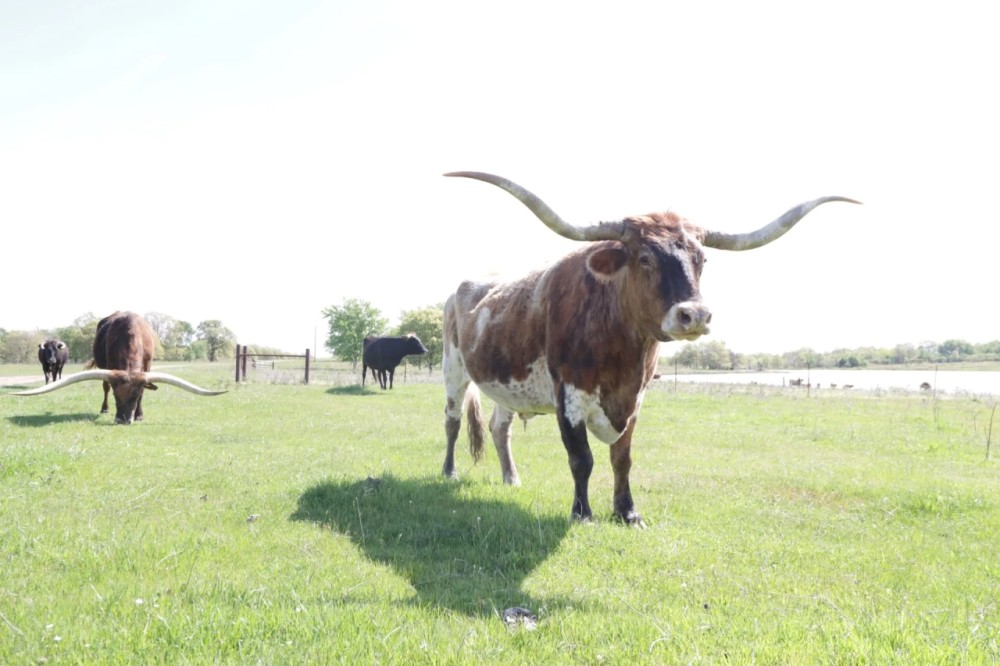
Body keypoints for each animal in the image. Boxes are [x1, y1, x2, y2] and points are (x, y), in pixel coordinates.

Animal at [13, 311, 226, 424]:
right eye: (117, 394)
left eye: (135, 395)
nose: (123, 420)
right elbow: (108, 387)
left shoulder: (147, 367)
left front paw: (139, 415)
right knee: (104, 387)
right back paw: (104, 409)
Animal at [441, 171, 859, 527]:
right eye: (644, 258)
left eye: (701, 259)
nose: (695, 315)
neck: (622, 346)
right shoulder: (569, 397)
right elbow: (581, 458)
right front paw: (583, 514)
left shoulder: (636, 398)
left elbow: (622, 458)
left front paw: (628, 513)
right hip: (453, 370)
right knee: (453, 421)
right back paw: (449, 471)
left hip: (506, 383)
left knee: (500, 428)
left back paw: (511, 478)